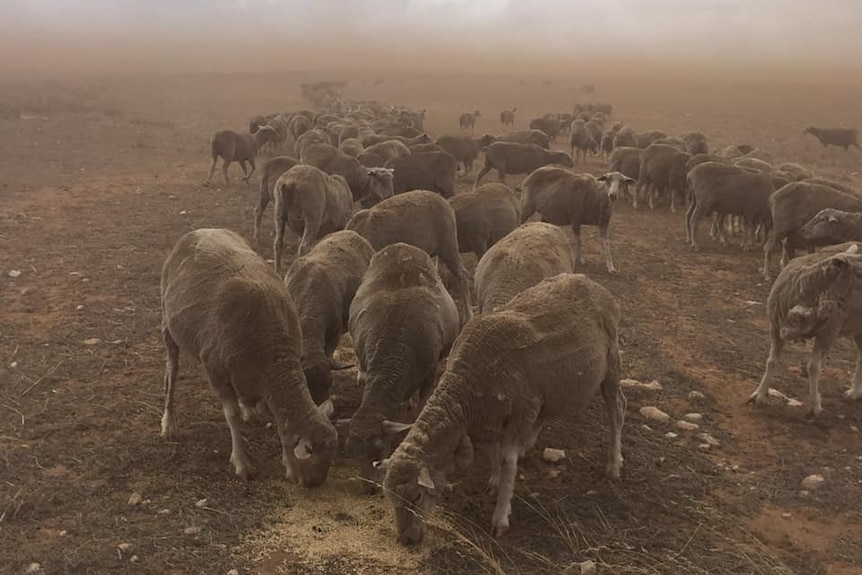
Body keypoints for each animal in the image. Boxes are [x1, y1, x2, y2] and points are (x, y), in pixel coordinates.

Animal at [160, 228, 340, 486]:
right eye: (314, 459)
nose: (312, 485)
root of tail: (201, 230)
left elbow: (273, 415)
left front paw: (285, 461)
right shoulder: (215, 371)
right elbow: (232, 415)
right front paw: (242, 463)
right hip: (168, 324)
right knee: (172, 373)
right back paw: (168, 424)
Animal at [382, 272, 624, 544]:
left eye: (417, 496)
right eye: (389, 497)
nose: (407, 540)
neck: (464, 386)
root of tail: (590, 282)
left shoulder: (521, 411)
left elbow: (508, 461)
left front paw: (500, 515)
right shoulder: (497, 416)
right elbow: (493, 451)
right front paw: (495, 481)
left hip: (611, 365)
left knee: (617, 412)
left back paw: (613, 465)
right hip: (550, 389)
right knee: (546, 415)